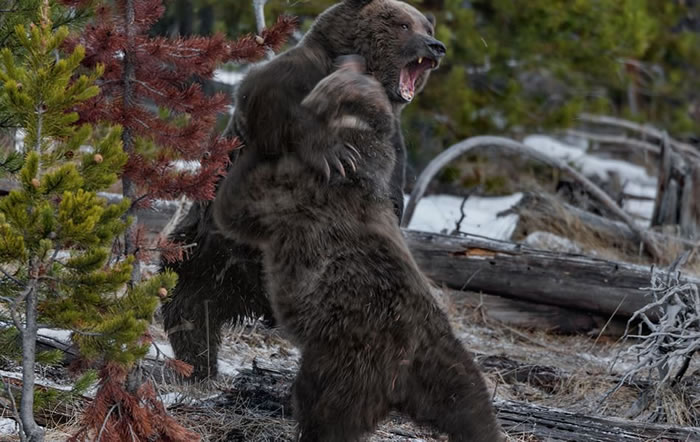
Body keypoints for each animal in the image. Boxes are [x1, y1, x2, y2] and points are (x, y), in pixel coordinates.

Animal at [161, 0, 440, 380]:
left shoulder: (392, 137)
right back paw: (197, 366)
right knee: (187, 308)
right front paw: (334, 155)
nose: (436, 46)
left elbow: (391, 176)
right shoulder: (290, 80)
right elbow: (271, 101)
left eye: (427, 27)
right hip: (199, 249)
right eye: (403, 25)